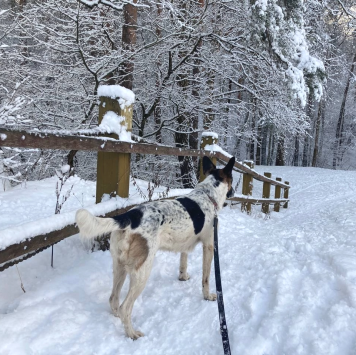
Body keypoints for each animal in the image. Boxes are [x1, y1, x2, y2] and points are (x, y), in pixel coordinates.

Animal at [76, 156, 234, 340]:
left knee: (113, 299)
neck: (207, 195)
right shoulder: (209, 245)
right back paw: (132, 333)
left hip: (119, 266)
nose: (233, 192)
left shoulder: (184, 242)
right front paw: (207, 296)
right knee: (125, 307)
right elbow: (206, 279)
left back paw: (118, 318)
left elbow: (183, 261)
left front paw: (183, 277)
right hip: (142, 272)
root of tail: (130, 216)